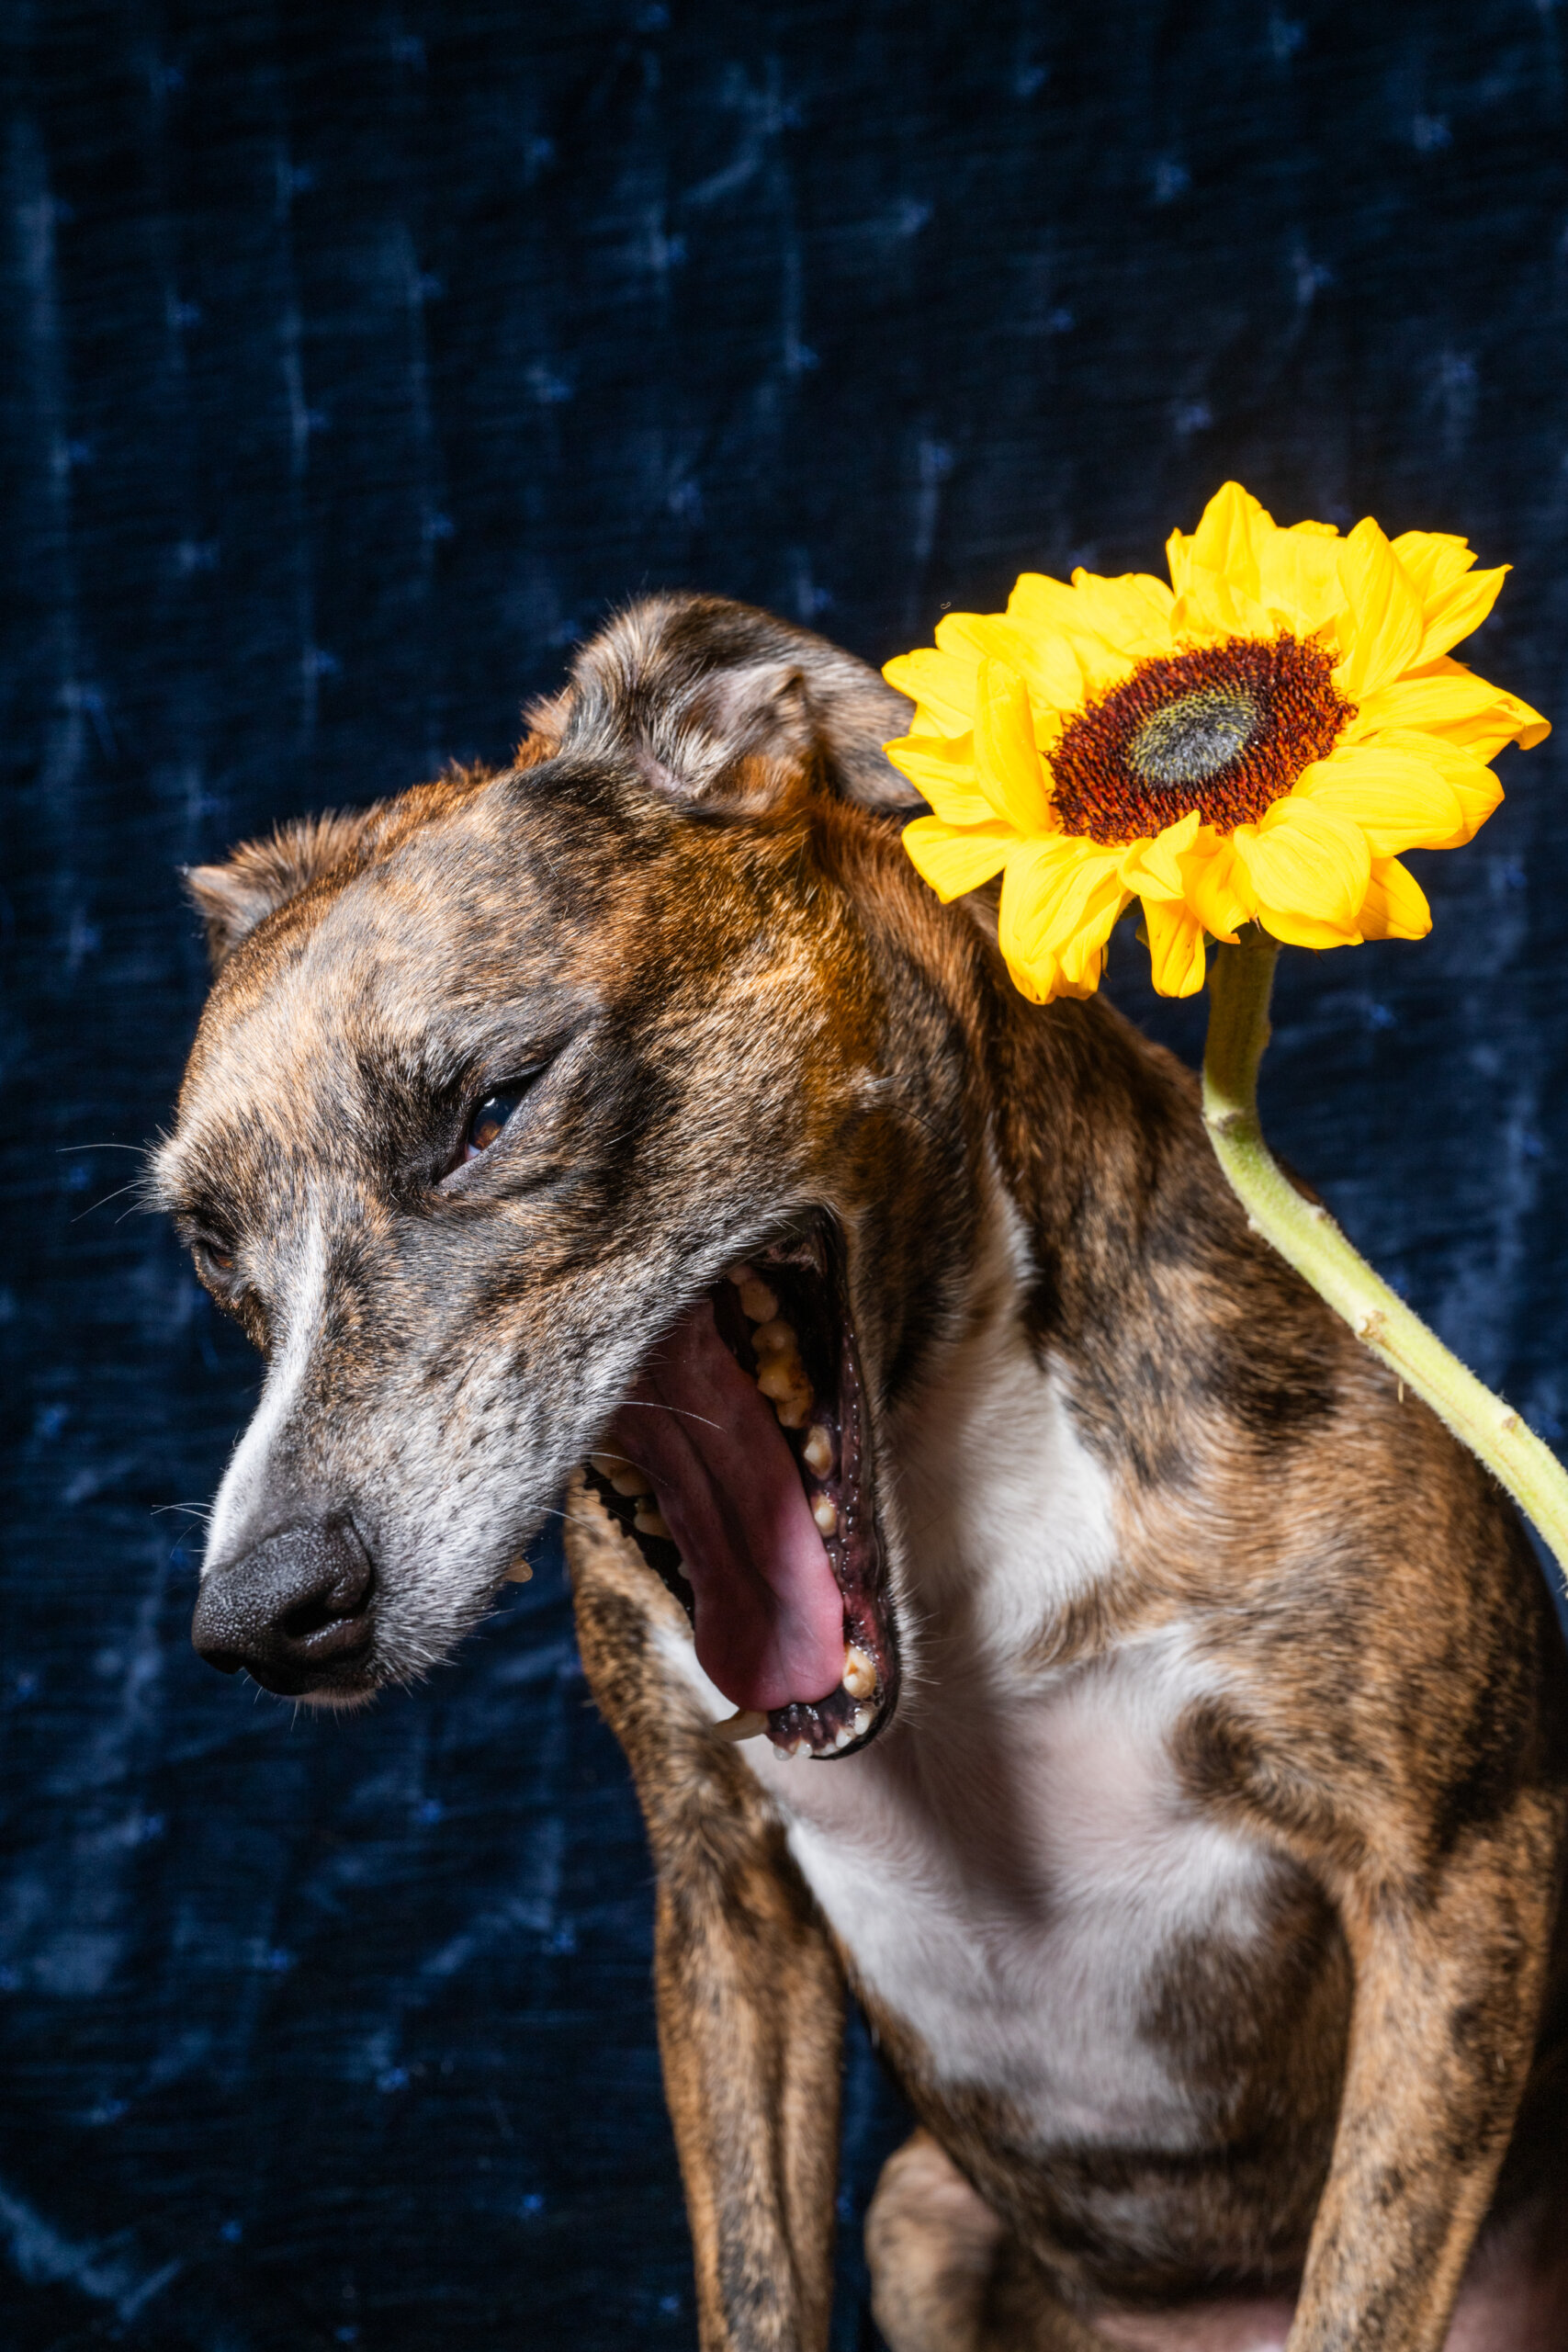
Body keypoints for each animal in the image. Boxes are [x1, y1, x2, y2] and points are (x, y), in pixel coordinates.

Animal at [156, 602, 1568, 2352]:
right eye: (207, 1244)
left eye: (492, 1108)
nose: (263, 1619)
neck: (955, 1519)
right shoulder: (726, 1910)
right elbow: (758, 2284)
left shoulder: (1451, 1872)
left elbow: (1363, 2286)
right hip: (915, 2213)